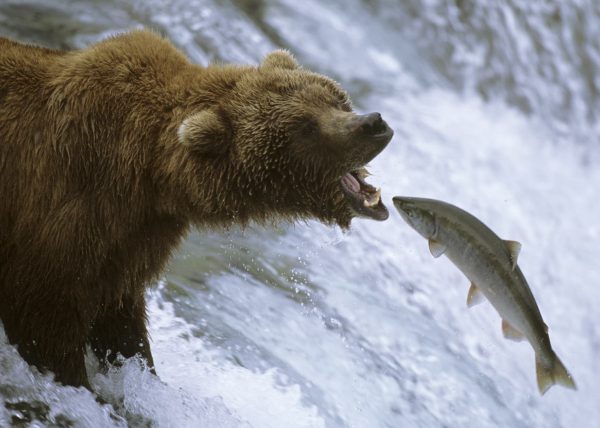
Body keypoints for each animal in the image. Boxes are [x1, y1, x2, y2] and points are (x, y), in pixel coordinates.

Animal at [0, 30, 394, 390]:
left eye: (335, 98)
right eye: (306, 127)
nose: (373, 123)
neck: (152, 173)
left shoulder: (133, 237)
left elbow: (120, 319)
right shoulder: (69, 205)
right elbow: (47, 321)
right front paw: (78, 382)